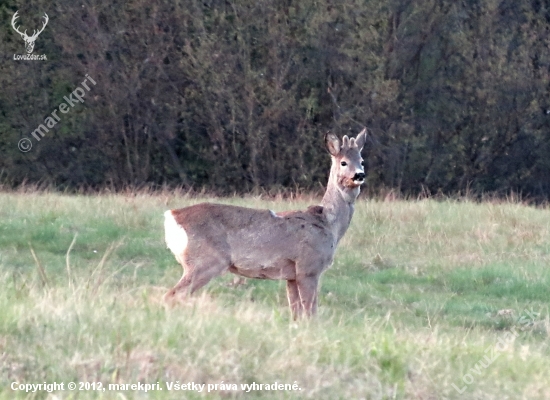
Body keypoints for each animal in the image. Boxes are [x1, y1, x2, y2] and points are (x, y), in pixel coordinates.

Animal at [166, 128, 368, 318]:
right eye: (343, 162)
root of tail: (172, 216)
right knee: (173, 295)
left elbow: (296, 313)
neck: (328, 223)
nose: (360, 175)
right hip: (205, 260)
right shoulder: (308, 267)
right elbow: (311, 312)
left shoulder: (291, 275)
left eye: (362, 160)